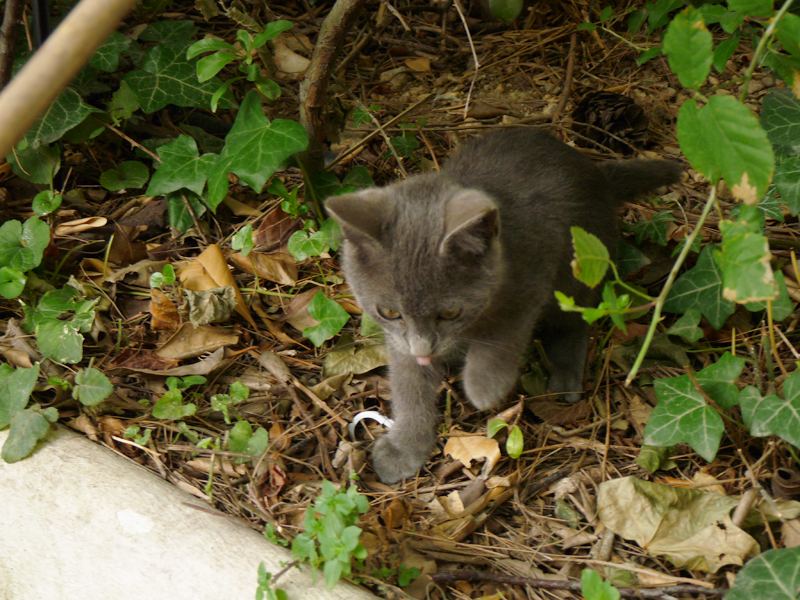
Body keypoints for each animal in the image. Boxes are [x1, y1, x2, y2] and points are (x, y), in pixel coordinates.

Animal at [324, 127, 680, 482]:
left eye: (450, 312)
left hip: (581, 265)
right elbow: (409, 383)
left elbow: (504, 333)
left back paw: (565, 377)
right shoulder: (399, 338)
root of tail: (598, 173)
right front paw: (405, 448)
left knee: (575, 321)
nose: (424, 348)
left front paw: (484, 385)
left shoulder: (533, 277)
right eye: (389, 311)